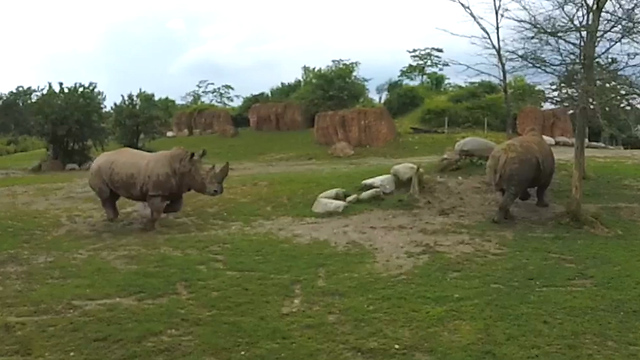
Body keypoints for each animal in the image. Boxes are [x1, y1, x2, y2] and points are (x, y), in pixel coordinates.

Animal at [87, 146, 230, 231]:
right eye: (202, 178)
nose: (218, 191)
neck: (183, 166)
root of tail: (96, 159)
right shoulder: (155, 192)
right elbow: (156, 210)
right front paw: (148, 226)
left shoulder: (176, 190)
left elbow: (176, 206)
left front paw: (164, 211)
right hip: (97, 170)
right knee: (106, 196)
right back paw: (113, 220)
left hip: (111, 169)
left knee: (113, 195)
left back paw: (115, 218)